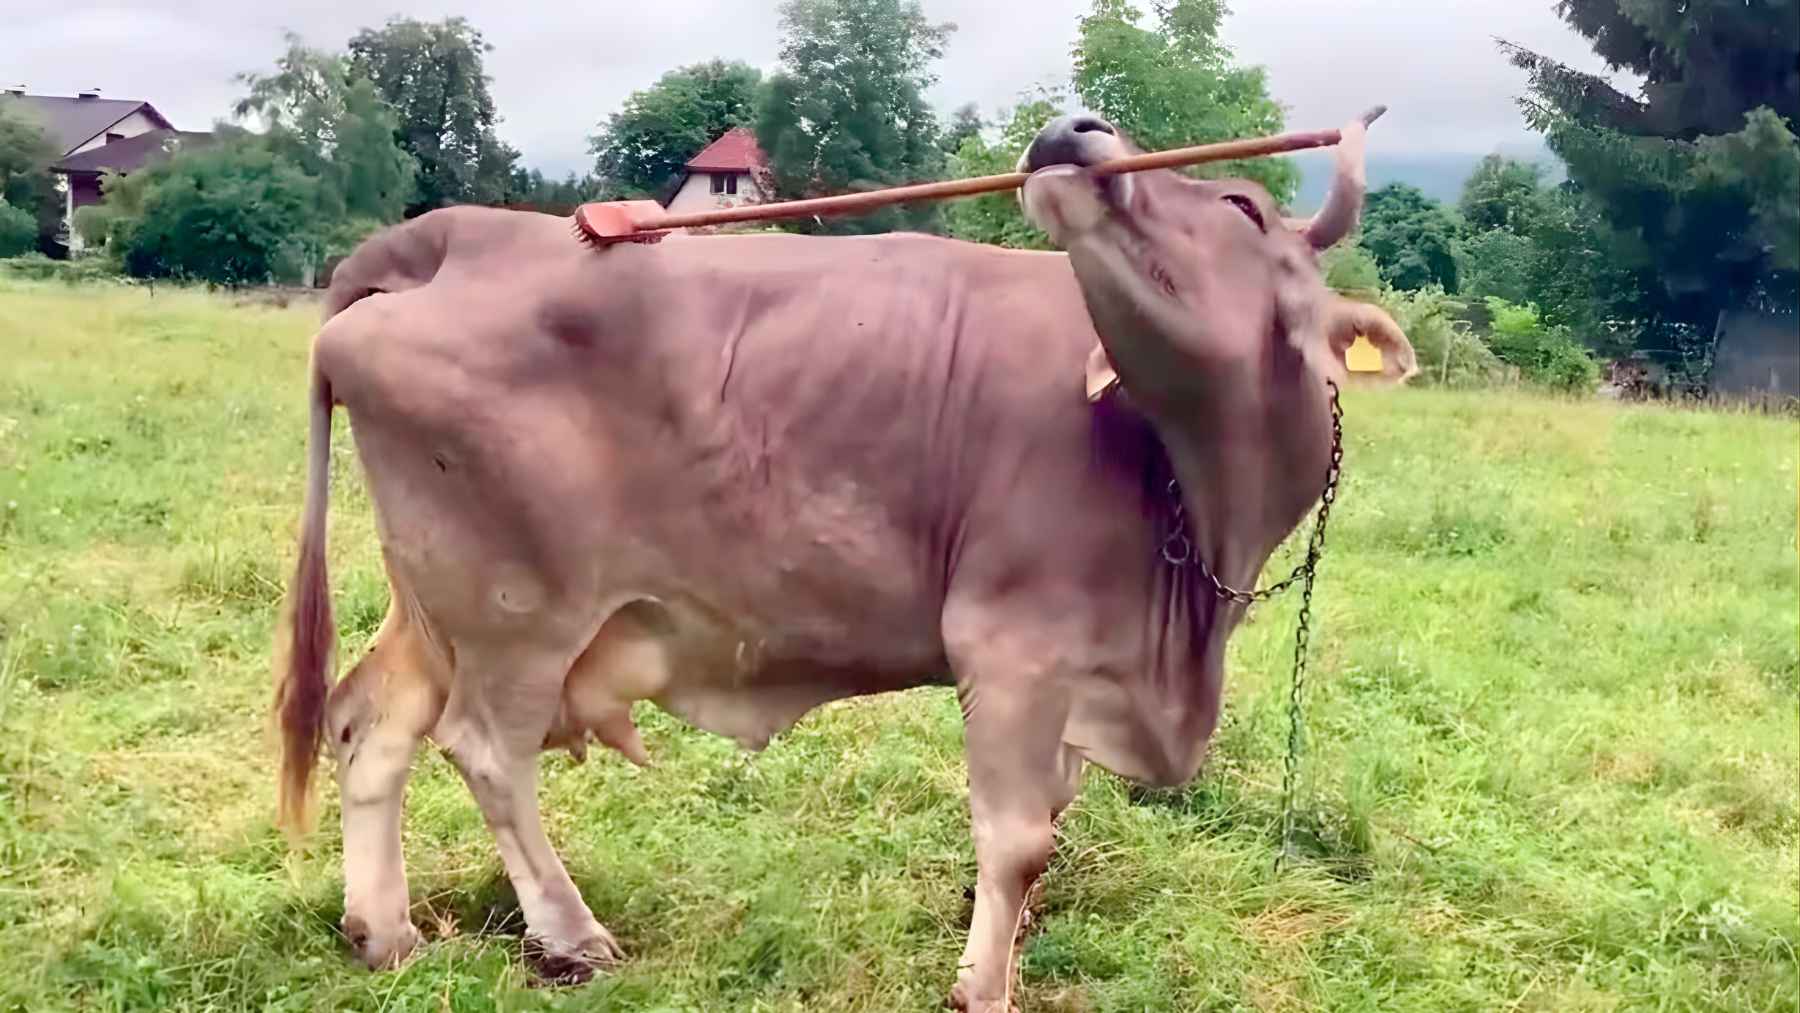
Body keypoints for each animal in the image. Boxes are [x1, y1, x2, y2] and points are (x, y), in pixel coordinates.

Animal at [271, 109, 1415, 1011]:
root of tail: (459, 232)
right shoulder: (1012, 644)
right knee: (485, 749)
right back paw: (568, 932)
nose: (1071, 129)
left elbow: (1049, 817)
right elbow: (1018, 836)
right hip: (517, 606)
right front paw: (982, 985)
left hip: (434, 600)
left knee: (371, 721)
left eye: (1241, 208)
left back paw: (383, 930)